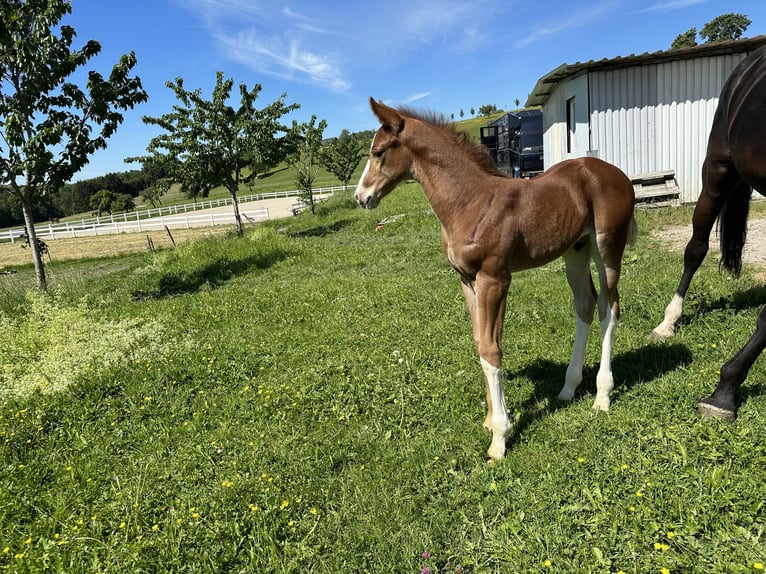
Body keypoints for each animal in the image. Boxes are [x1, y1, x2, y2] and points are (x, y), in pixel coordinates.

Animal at [356, 98, 640, 460]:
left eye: (378, 152)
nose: (361, 197)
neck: (469, 202)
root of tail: (619, 175)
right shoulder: (467, 281)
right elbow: (480, 343)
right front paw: (491, 420)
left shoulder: (495, 278)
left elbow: (492, 350)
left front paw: (499, 439)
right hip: (576, 251)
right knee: (585, 306)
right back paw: (567, 388)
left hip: (607, 247)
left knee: (609, 307)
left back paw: (602, 396)